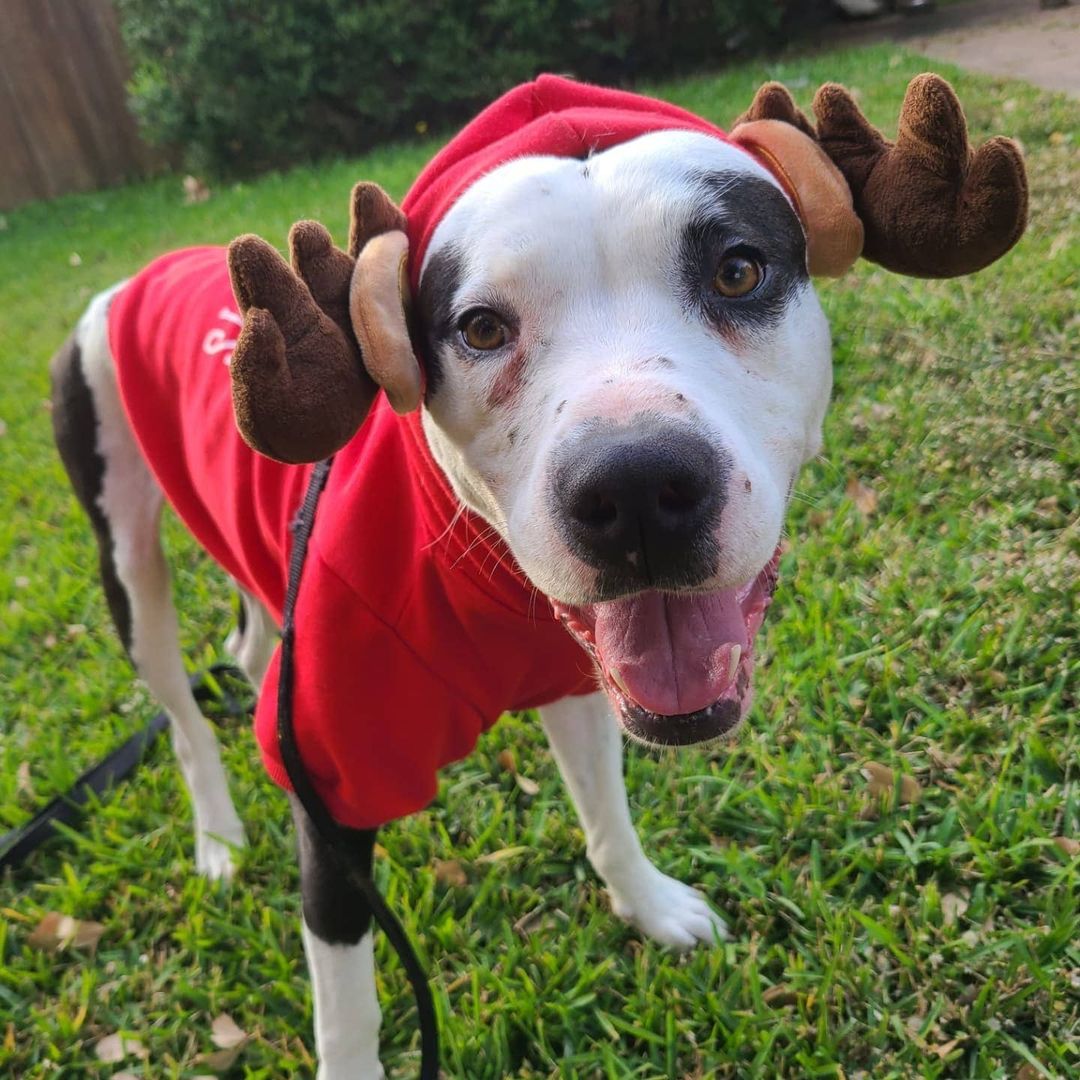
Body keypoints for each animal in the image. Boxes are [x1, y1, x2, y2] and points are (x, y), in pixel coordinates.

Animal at [50, 71, 1023, 1075]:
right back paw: (216, 833)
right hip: (126, 559)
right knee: (178, 711)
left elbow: (606, 817)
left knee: (246, 649)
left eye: (738, 271)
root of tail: (132, 277)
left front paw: (649, 906)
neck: (480, 576)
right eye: (480, 328)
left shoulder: (580, 681)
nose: (635, 487)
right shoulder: (330, 788)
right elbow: (348, 1005)